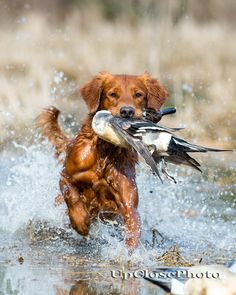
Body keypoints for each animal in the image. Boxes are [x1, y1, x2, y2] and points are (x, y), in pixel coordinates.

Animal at [37, 71, 168, 252]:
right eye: (112, 94)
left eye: (138, 94)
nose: (127, 111)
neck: (105, 150)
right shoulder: (66, 176)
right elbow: (72, 195)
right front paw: (81, 222)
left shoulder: (128, 202)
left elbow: (133, 225)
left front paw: (129, 252)